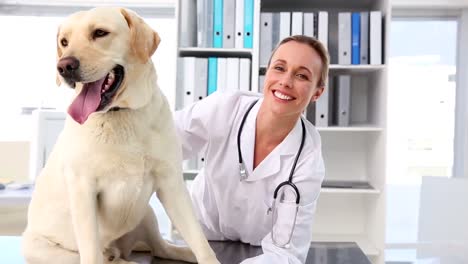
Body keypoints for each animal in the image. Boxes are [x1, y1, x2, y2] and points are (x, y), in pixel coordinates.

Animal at [22, 7, 219, 264]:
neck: (120, 114)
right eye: (64, 42)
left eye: (99, 33)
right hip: (46, 249)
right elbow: (91, 251)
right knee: (105, 257)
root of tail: (119, 248)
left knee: (162, 249)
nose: (63, 66)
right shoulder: (83, 188)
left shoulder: (171, 183)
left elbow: (198, 239)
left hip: (146, 213)